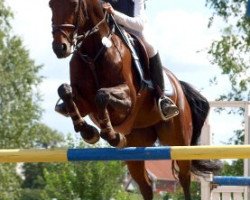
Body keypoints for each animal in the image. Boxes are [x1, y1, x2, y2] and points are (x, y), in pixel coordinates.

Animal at [48, 0, 221, 199]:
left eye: (75, 4)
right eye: (51, 5)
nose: (60, 48)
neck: (93, 53)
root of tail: (179, 86)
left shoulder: (128, 99)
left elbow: (102, 95)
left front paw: (111, 134)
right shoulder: (84, 102)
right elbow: (65, 91)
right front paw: (88, 131)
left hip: (179, 140)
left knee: (184, 178)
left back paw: (165, 105)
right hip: (136, 144)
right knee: (145, 185)